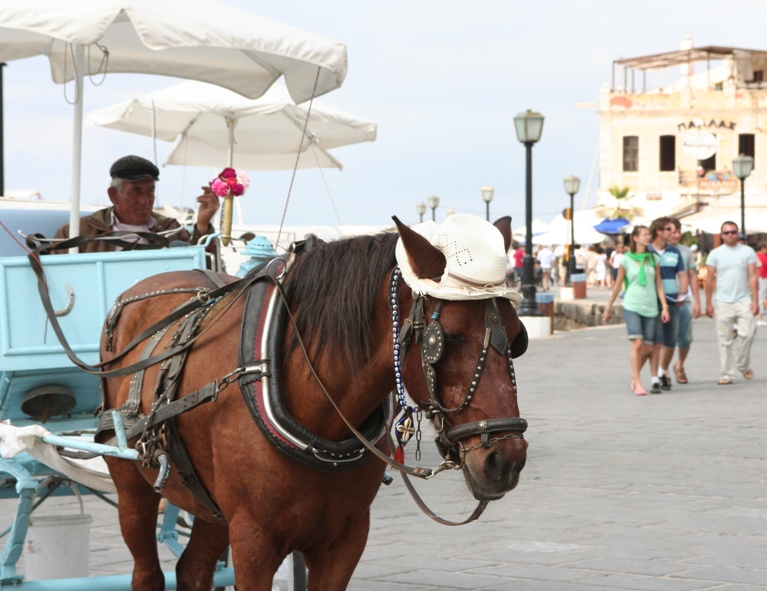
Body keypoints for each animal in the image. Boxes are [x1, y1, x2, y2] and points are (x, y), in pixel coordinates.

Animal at [100, 217, 528, 591]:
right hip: (131, 484)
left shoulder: (345, 541)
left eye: (517, 337)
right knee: (146, 572)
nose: (506, 459)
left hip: (211, 508)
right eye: (449, 337)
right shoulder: (253, 541)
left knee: (192, 570)